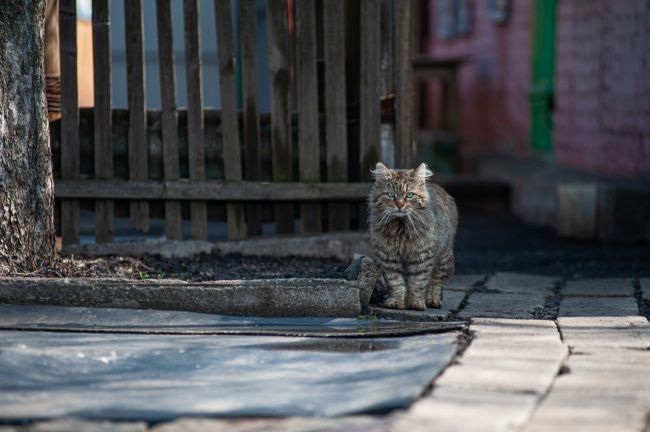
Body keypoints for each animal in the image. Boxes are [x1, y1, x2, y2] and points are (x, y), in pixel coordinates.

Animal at [370, 163, 456, 310]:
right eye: (391, 195)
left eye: (409, 195)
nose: (400, 205)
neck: (401, 227)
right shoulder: (388, 256)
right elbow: (396, 282)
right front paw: (396, 302)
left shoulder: (421, 256)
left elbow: (417, 282)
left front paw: (416, 303)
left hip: (443, 256)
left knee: (436, 281)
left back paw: (433, 300)